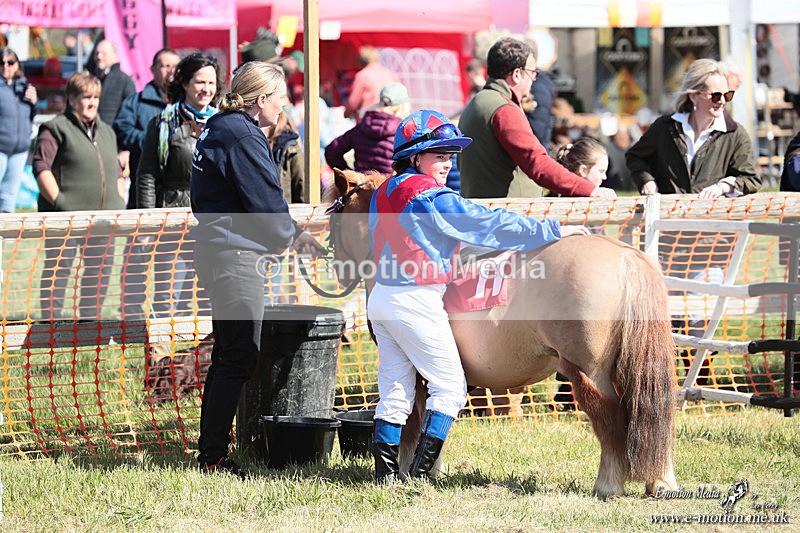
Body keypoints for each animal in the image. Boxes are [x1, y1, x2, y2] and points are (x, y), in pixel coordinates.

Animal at [326, 169, 678, 498]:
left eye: (335, 215)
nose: (338, 267)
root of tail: (626, 256)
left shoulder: (413, 367)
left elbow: (413, 421)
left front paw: (405, 470)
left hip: (589, 372)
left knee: (611, 418)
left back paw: (608, 485)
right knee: (649, 412)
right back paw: (661, 482)